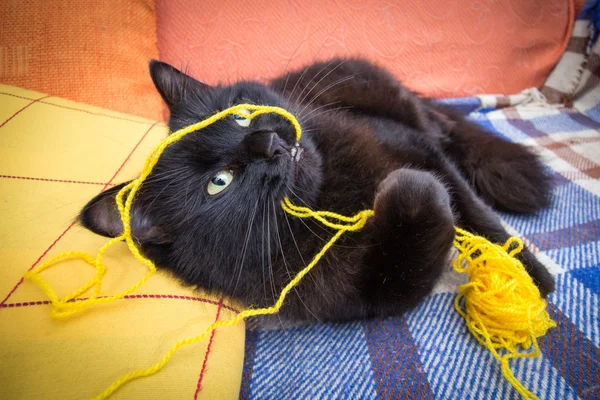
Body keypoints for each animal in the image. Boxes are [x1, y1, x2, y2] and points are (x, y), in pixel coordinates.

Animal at [78, 57, 552, 324]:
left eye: (241, 116)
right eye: (218, 183)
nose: (268, 142)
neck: (332, 189)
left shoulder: (411, 145)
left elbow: (480, 215)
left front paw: (529, 279)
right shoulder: (361, 293)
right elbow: (413, 237)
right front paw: (405, 187)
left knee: (445, 130)